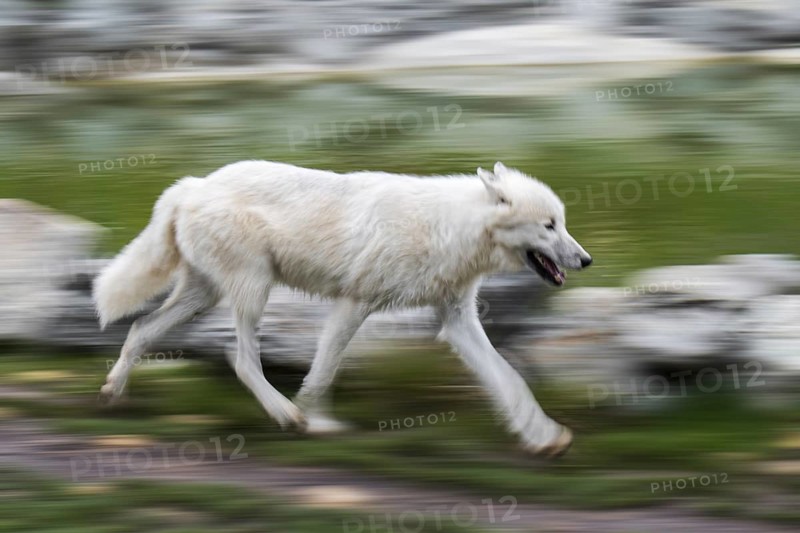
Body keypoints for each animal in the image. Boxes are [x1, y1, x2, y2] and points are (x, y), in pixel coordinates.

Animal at [94, 160, 592, 457]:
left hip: (204, 296)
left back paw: (113, 393)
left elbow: (510, 380)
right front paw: (318, 423)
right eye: (549, 225)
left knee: (141, 328)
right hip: (252, 292)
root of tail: (191, 185)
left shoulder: (457, 321)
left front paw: (544, 436)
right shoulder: (354, 305)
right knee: (240, 360)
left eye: (563, 223)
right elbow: (324, 372)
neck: (450, 228)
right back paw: (286, 415)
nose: (586, 260)